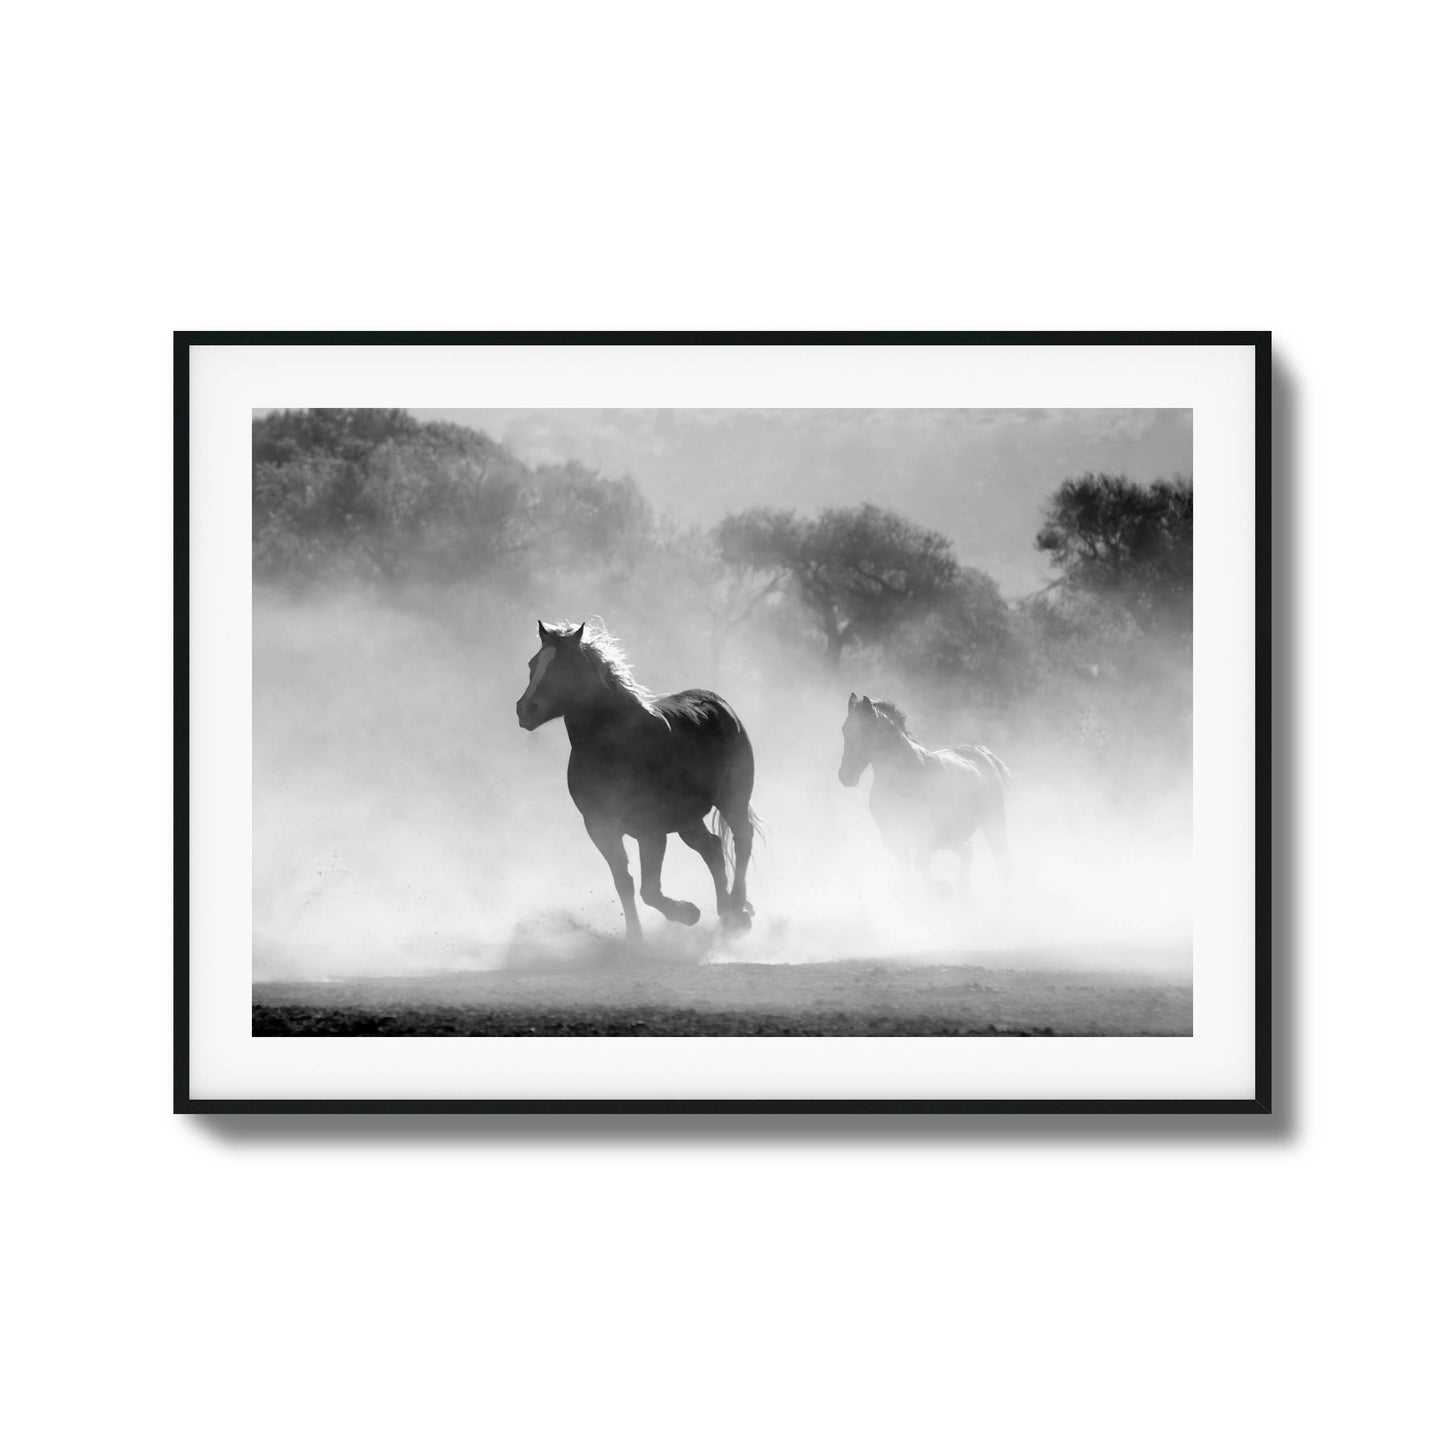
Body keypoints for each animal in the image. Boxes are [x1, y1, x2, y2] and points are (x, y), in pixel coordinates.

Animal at [514, 624, 757, 947]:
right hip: (687, 819)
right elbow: (624, 883)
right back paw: (726, 913)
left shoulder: (650, 831)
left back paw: (738, 910)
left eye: (564, 666)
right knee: (713, 849)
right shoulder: (600, 827)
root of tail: (720, 704)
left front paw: (688, 913)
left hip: (733, 798)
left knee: (742, 839)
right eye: (532, 664)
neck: (616, 747)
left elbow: (649, 890)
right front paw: (635, 938)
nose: (525, 710)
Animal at [843, 693, 1011, 895]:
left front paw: (942, 889)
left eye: (866, 731)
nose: (845, 776)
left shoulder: (929, 835)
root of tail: (984, 754)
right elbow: (908, 876)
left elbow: (919, 864)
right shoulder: (894, 838)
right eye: (844, 730)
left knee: (1000, 859)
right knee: (967, 850)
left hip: (992, 822)